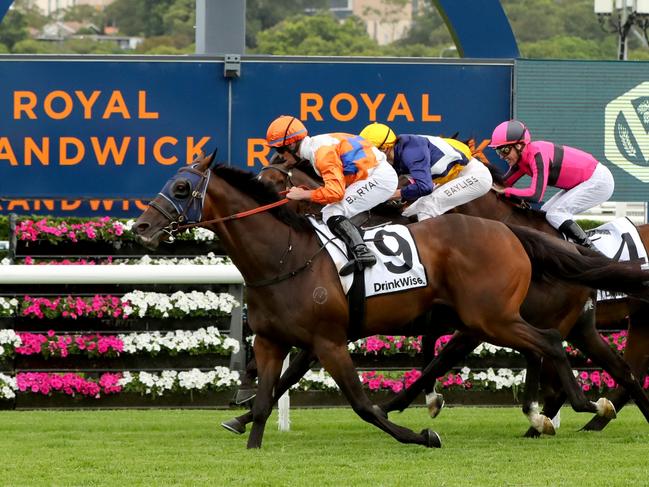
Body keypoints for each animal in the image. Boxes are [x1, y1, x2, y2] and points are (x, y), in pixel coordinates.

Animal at [134, 153, 644, 450]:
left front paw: (421, 431)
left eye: (181, 188)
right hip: (506, 320)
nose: (141, 227)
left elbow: (363, 404)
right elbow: (266, 396)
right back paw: (571, 412)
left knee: (553, 345)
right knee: (583, 356)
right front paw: (246, 433)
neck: (286, 254)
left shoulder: (329, 339)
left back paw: (580, 406)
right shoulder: (274, 339)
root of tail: (512, 232)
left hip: (492, 318)